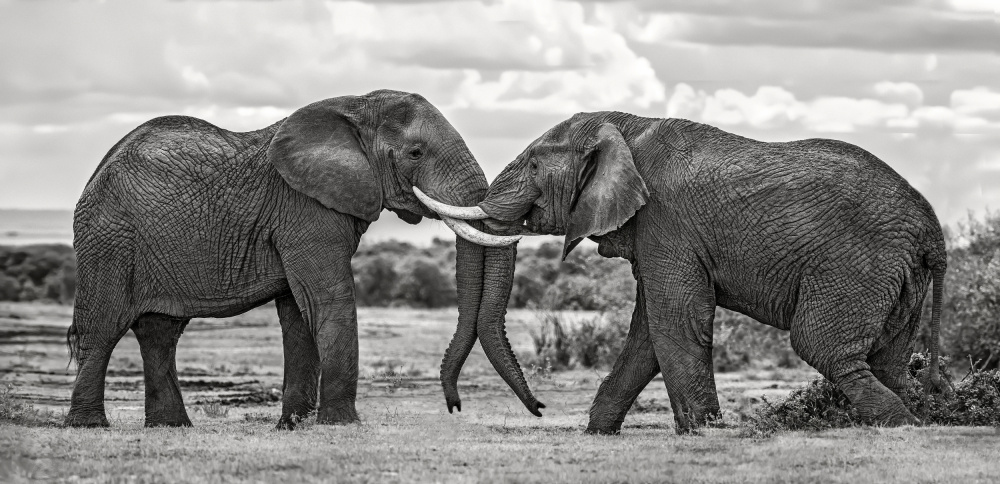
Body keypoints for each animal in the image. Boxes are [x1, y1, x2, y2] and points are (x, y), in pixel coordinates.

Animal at [64, 89, 528, 429]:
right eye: (415, 153)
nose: (454, 407)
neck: (356, 107)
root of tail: (97, 171)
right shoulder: (304, 208)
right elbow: (328, 300)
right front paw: (341, 425)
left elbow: (299, 313)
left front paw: (293, 426)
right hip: (108, 239)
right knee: (104, 327)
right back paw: (89, 426)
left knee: (161, 332)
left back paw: (171, 427)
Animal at [429, 111, 947, 434]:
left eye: (535, 164)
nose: (539, 409)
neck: (624, 127)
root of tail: (932, 229)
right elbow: (647, 333)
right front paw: (598, 432)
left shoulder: (666, 220)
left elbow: (674, 319)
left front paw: (702, 433)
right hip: (899, 277)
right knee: (890, 361)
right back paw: (924, 417)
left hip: (857, 265)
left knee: (824, 348)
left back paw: (906, 425)